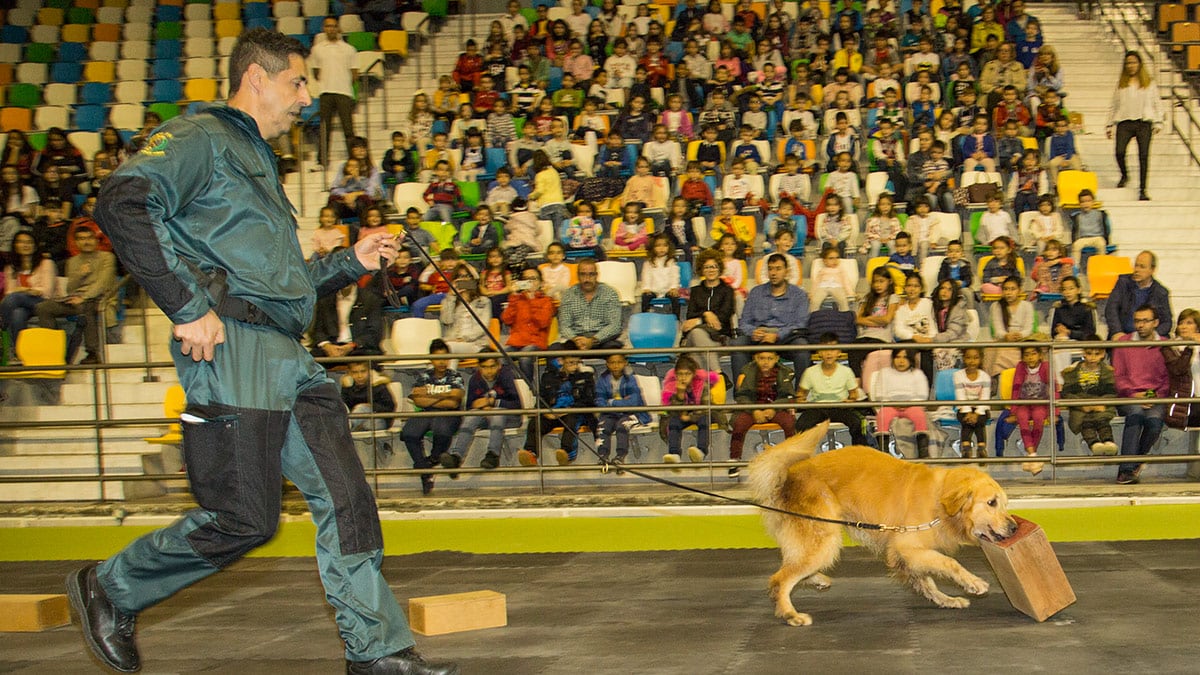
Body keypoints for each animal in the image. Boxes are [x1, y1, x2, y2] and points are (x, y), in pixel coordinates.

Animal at [744, 422, 1017, 624]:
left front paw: (947, 600)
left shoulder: (905, 554)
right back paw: (790, 614)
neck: (940, 502)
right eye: (991, 503)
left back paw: (817, 580)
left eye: (1004, 503)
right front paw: (973, 583)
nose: (1014, 527)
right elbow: (949, 563)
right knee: (780, 579)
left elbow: (927, 581)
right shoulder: (907, 546)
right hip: (826, 540)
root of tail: (789, 475)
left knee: (790, 566)